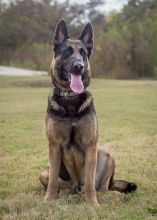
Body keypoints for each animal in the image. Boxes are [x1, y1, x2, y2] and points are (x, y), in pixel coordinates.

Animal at [39, 19, 136, 205]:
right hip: (44, 173)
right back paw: (68, 194)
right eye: (67, 52)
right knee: (67, 187)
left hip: (107, 153)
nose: (79, 66)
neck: (70, 98)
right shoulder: (54, 146)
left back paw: (109, 194)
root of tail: (78, 186)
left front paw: (92, 204)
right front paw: (49, 200)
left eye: (83, 54)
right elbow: (53, 179)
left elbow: (91, 183)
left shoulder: (91, 145)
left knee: (102, 187)